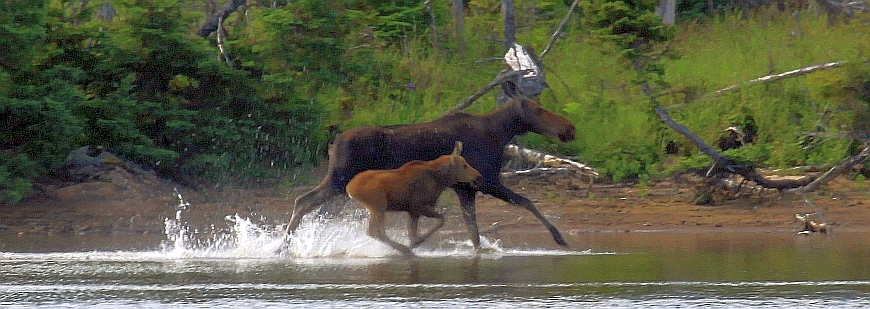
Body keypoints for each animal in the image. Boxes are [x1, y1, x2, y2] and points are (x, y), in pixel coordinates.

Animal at [348, 140, 484, 255]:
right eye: (464, 165)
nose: (478, 175)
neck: (440, 181)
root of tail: (350, 188)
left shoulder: (412, 211)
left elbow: (412, 231)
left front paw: (414, 242)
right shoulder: (418, 206)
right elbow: (441, 220)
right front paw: (417, 242)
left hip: (377, 208)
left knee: (376, 231)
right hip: (379, 205)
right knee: (375, 231)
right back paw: (404, 249)